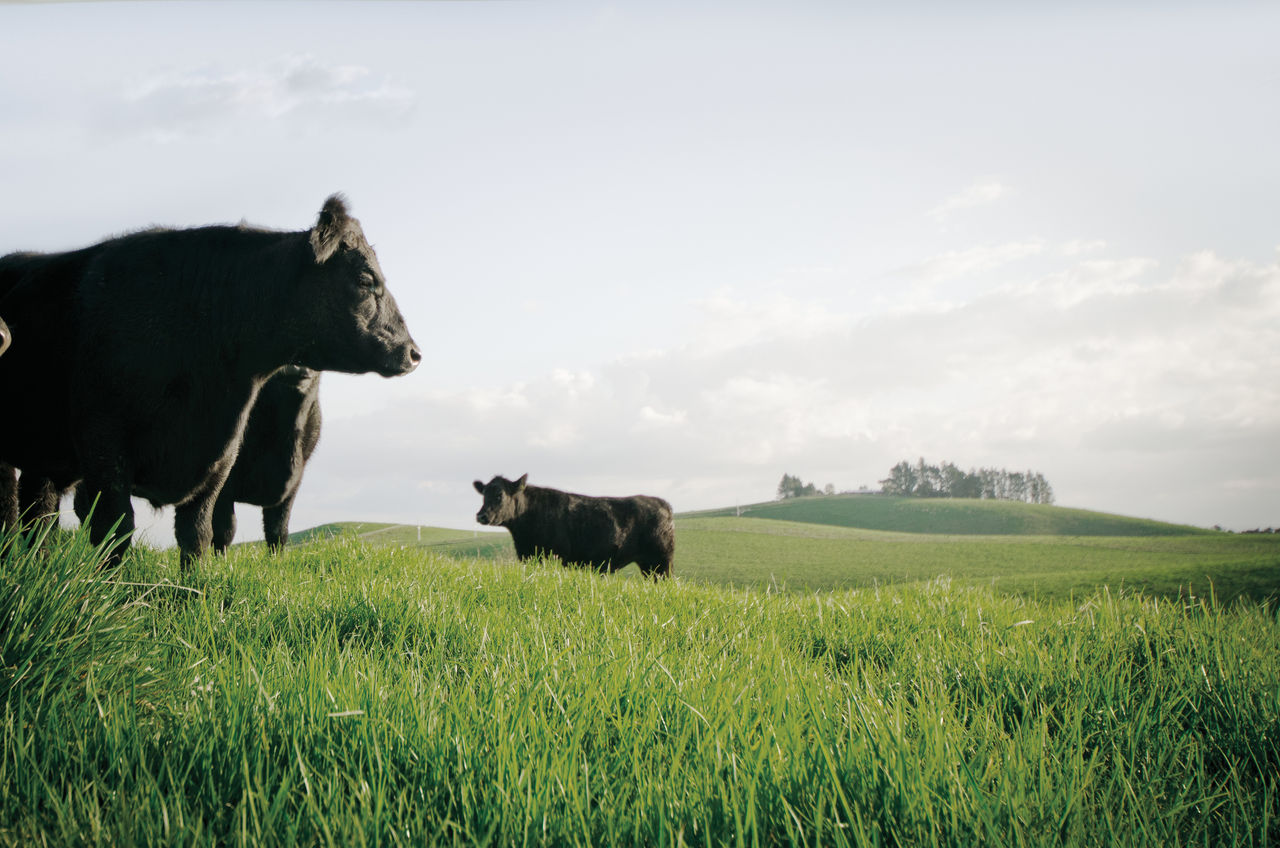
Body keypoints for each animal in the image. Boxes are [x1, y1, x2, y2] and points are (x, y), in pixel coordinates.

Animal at [0, 197, 419, 568]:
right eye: (365, 279)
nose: (413, 352)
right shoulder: (103, 445)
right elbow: (116, 530)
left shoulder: (221, 461)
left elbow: (200, 535)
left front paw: (193, 595)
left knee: (38, 512)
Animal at [471, 473, 670, 581]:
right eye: (484, 495)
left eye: (499, 495)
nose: (481, 515)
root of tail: (661, 502)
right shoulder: (527, 555)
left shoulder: (554, 556)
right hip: (649, 564)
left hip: (660, 561)